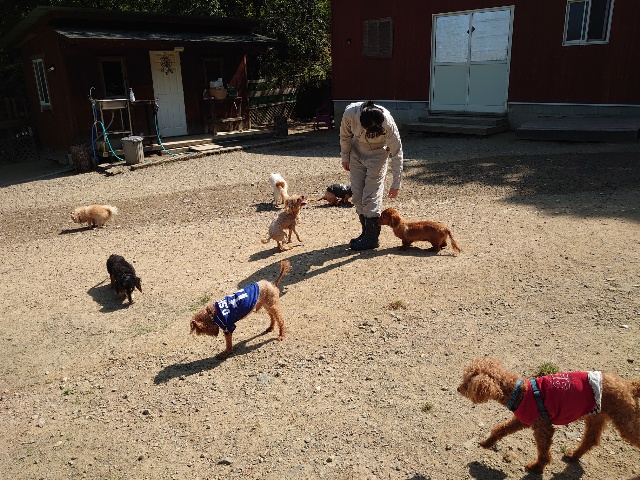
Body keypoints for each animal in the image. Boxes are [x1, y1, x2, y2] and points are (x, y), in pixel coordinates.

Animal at [457, 358, 640, 473]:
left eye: (467, 383)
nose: (458, 389)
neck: (520, 392)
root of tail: (629, 385)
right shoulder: (524, 419)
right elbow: (500, 429)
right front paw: (487, 442)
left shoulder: (543, 427)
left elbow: (543, 450)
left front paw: (537, 467)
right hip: (595, 416)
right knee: (590, 439)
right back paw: (574, 455)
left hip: (624, 421)